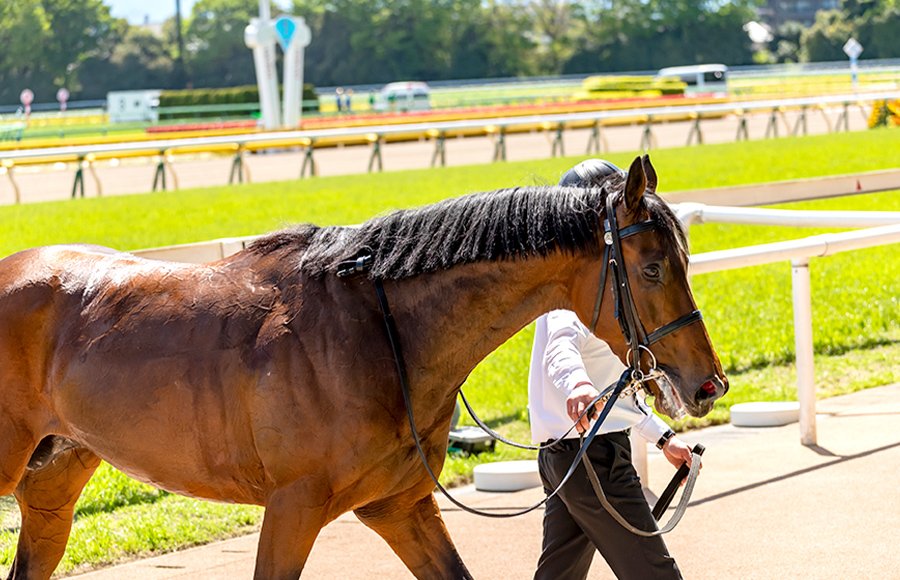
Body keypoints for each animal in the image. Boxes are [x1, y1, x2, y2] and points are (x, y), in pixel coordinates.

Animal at [0, 155, 724, 580]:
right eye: (653, 268)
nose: (707, 383)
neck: (377, 334)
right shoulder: (291, 508)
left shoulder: (398, 506)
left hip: (55, 477)